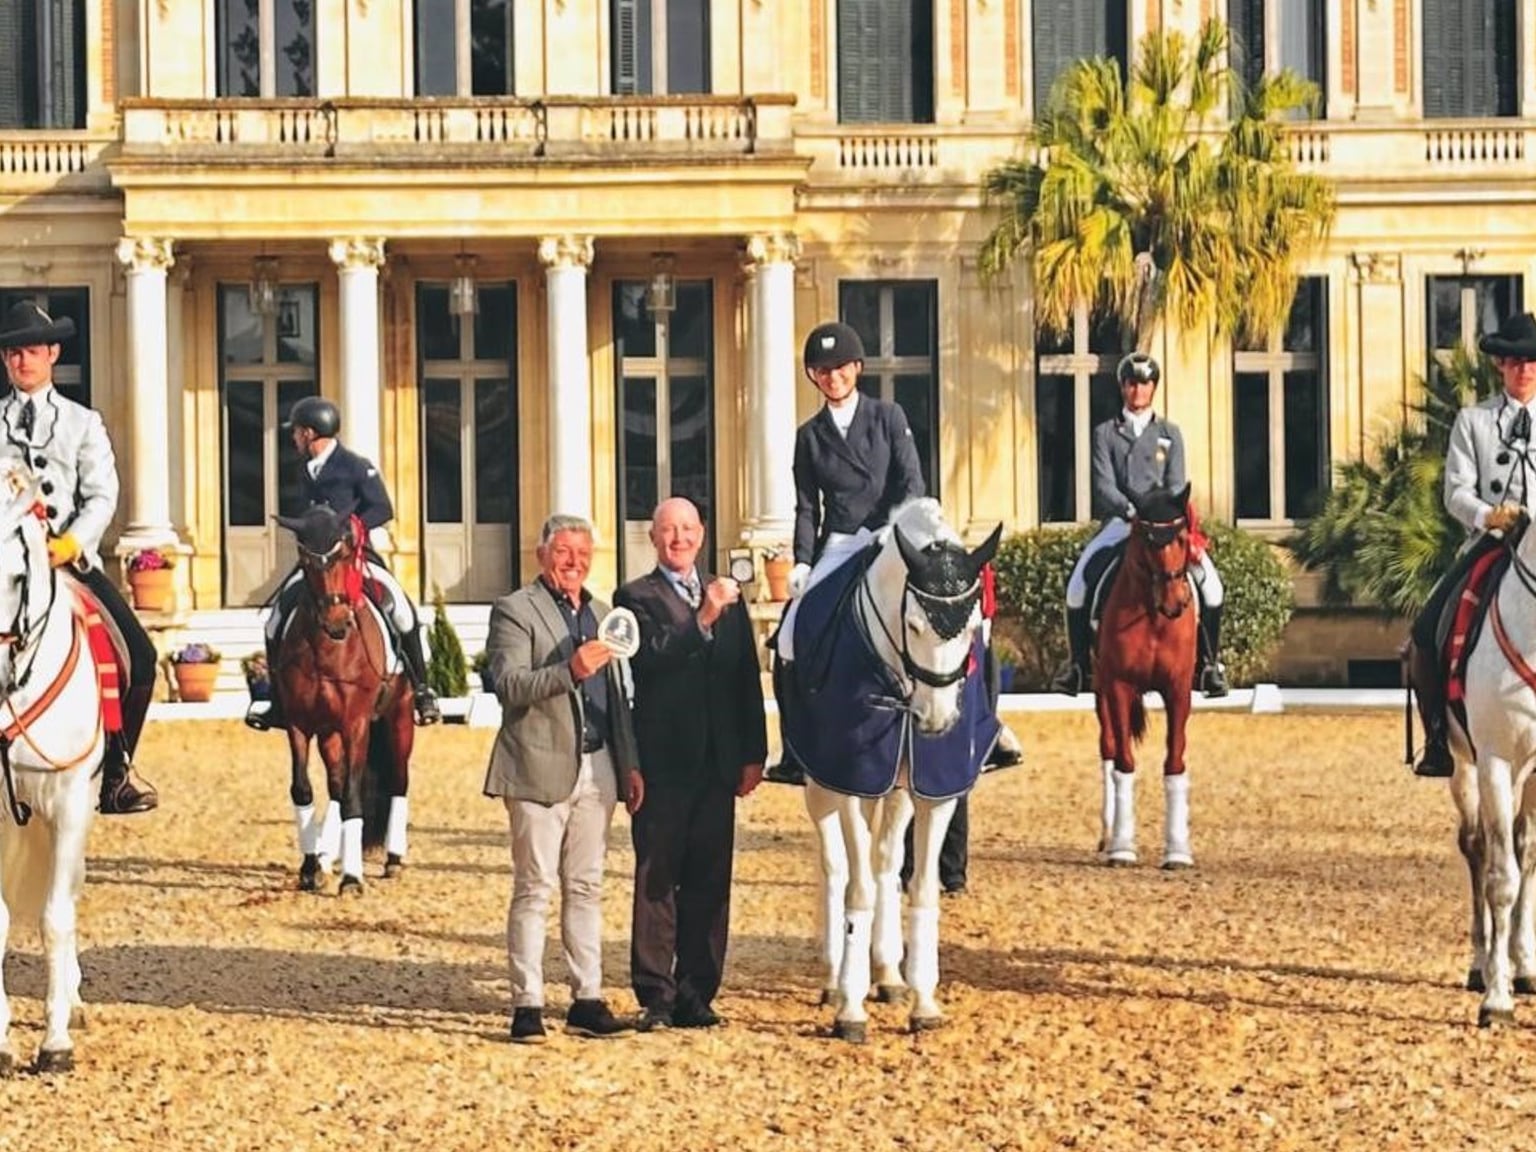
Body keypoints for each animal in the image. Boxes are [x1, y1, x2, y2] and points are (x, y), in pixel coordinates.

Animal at [271, 509, 411, 897]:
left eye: (346, 555)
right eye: (305, 560)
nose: (337, 624)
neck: (326, 651)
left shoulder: (356, 725)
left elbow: (352, 796)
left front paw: (352, 877)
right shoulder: (299, 725)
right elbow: (303, 789)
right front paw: (309, 868)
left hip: (400, 716)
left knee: (398, 779)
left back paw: (393, 859)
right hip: (329, 732)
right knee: (335, 784)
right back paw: (325, 855)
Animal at [780, 500, 1007, 1044]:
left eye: (973, 628)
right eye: (916, 625)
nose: (937, 720)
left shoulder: (935, 790)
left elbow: (919, 887)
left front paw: (923, 999)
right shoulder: (849, 777)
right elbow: (856, 884)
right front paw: (850, 1008)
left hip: (896, 787)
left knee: (885, 862)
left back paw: (887, 974)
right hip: (823, 785)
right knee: (836, 865)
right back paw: (835, 977)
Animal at [1093, 482, 1198, 872]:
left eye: (1182, 537)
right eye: (1147, 539)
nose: (1175, 602)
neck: (1153, 616)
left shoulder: (1178, 689)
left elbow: (1175, 761)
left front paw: (1178, 850)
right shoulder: (1119, 686)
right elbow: (1124, 762)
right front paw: (1123, 847)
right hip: (1100, 689)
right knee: (1108, 748)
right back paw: (1108, 835)